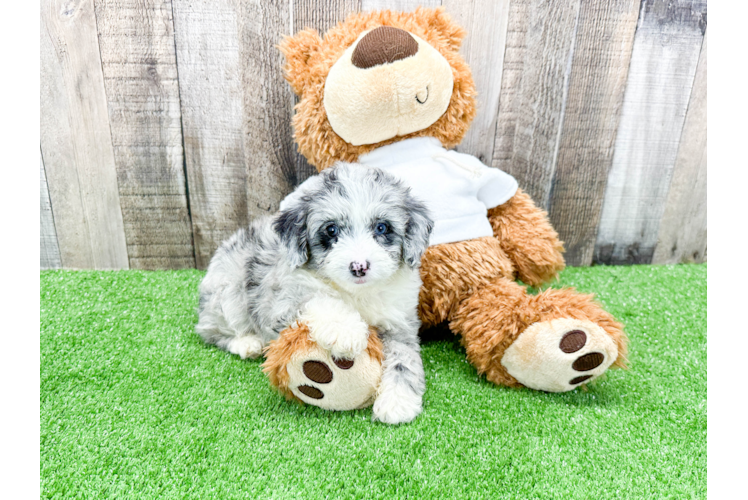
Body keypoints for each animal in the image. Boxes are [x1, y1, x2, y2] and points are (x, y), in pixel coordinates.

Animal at [196, 162, 436, 424]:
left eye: (382, 227)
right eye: (331, 230)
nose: (359, 266)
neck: (356, 294)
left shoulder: (400, 323)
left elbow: (404, 359)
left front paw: (397, 402)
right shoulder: (282, 301)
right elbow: (317, 298)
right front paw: (346, 330)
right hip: (227, 294)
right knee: (210, 330)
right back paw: (246, 343)